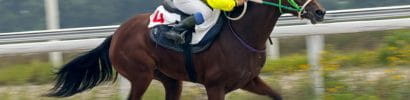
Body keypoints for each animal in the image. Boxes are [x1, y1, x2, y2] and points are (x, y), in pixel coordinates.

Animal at [46, 0, 326, 100]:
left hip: (170, 80)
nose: (320, 11)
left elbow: (277, 95)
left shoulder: (249, 80)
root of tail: (115, 35)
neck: (243, 32)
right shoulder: (215, 86)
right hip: (140, 76)